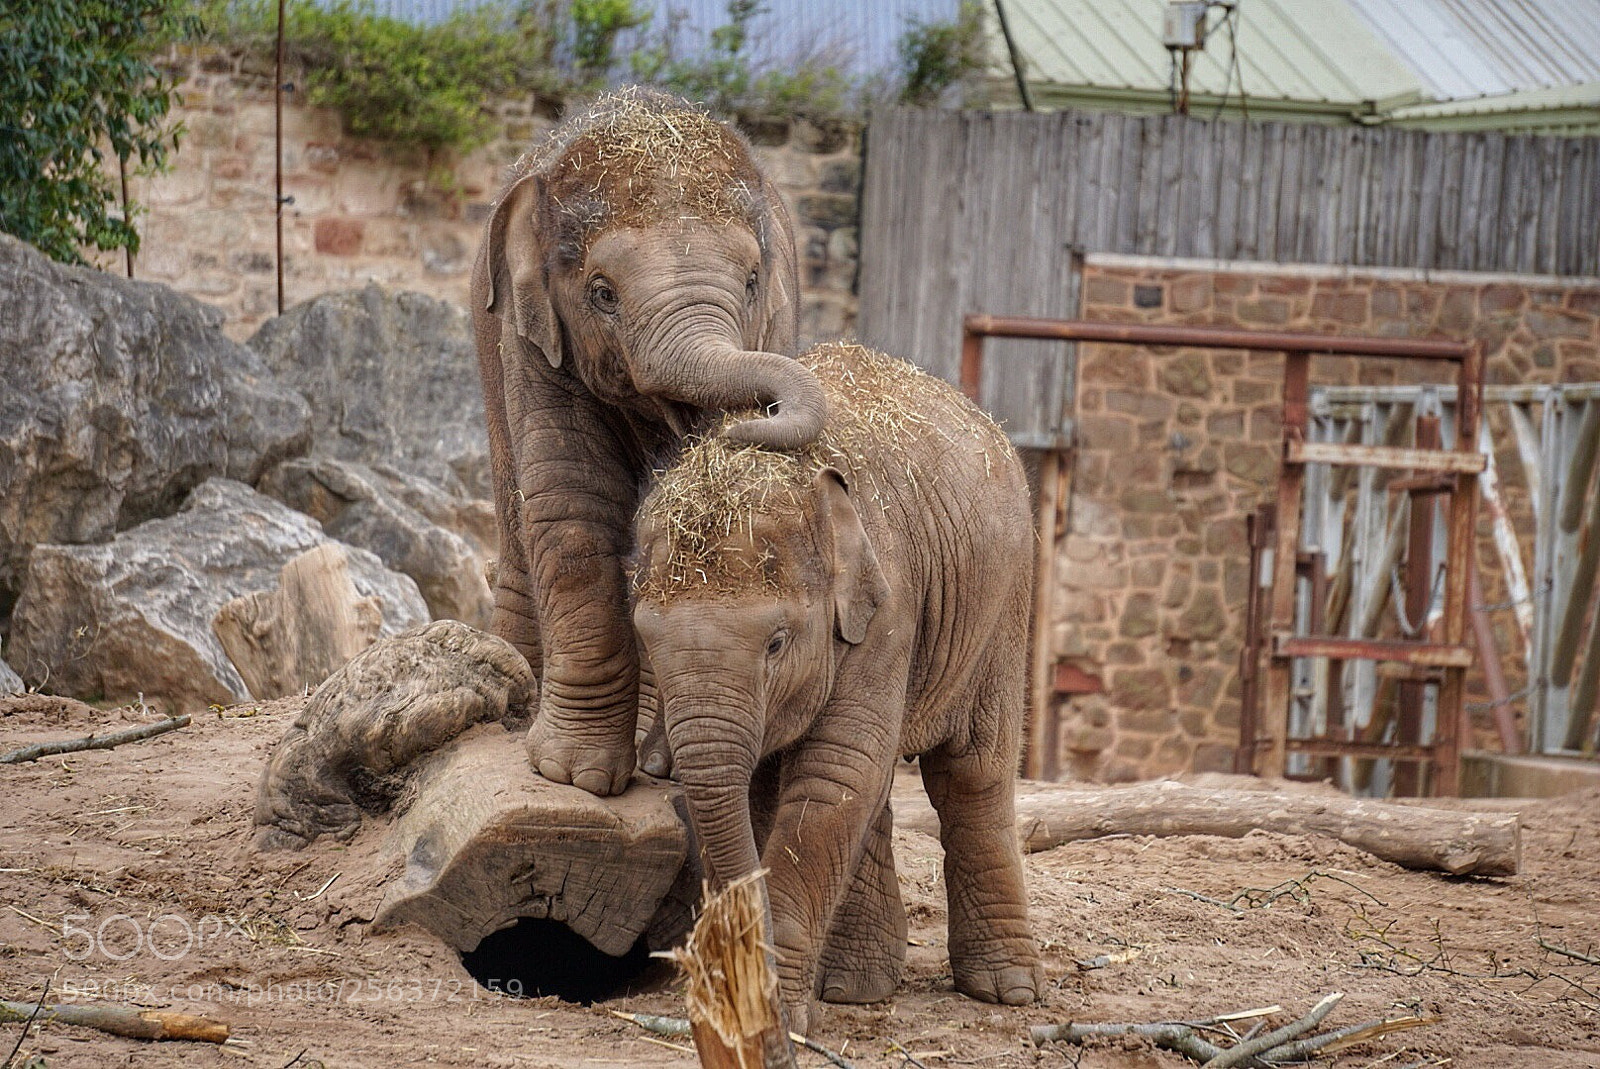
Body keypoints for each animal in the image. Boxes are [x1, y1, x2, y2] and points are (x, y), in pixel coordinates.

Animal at [472, 88, 827, 797]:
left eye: (752, 281)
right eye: (602, 293)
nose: (754, 418)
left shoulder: (775, 321)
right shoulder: (533, 337)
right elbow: (572, 501)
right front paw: (574, 775)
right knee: (515, 511)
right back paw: (516, 704)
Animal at [630, 341, 1042, 1033]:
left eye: (776, 643)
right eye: (645, 643)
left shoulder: (890, 609)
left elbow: (833, 775)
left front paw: (782, 1016)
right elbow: (782, 786)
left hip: (1004, 604)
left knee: (970, 771)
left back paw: (1006, 992)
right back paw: (857, 989)